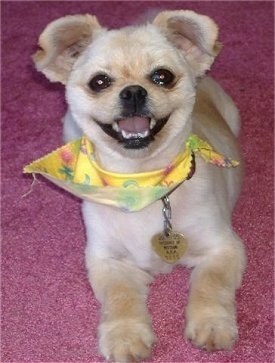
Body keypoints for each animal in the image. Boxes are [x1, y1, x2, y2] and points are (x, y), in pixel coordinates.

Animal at [33, 9, 248, 362]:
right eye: (99, 82)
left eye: (162, 77)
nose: (133, 91)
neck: (141, 183)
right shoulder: (108, 260)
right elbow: (120, 298)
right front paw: (125, 337)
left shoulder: (224, 248)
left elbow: (210, 285)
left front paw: (211, 324)